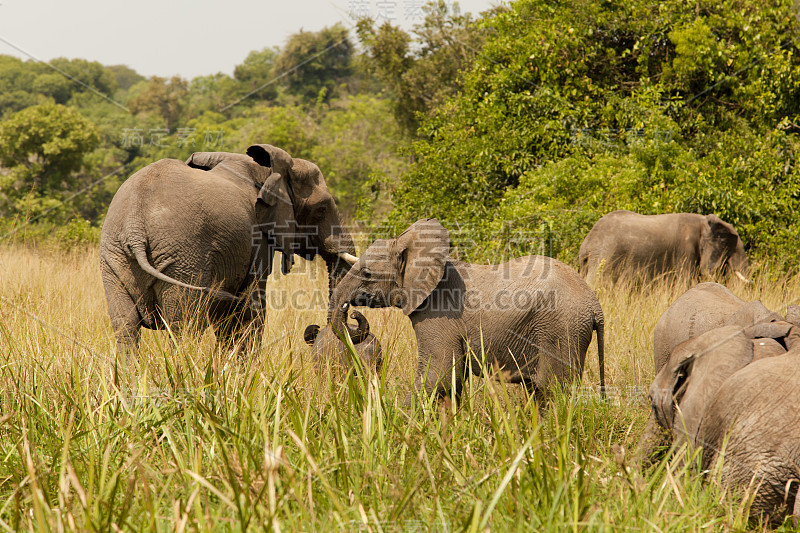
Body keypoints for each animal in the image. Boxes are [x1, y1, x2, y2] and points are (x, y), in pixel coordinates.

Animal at [100, 143, 356, 356]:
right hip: (183, 258)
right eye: (321, 209)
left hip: (115, 258)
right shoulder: (257, 238)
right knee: (184, 326)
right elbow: (250, 308)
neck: (267, 171)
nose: (314, 329)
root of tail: (134, 225)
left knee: (125, 327)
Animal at [322, 216, 604, 404]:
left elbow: (437, 377)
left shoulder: (437, 316)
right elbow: (451, 383)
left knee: (552, 390)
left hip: (560, 330)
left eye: (367, 274)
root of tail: (595, 306)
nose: (353, 313)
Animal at [580, 210, 748, 286]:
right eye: (727, 247)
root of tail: (587, 242)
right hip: (604, 256)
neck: (703, 221)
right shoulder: (685, 249)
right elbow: (685, 281)